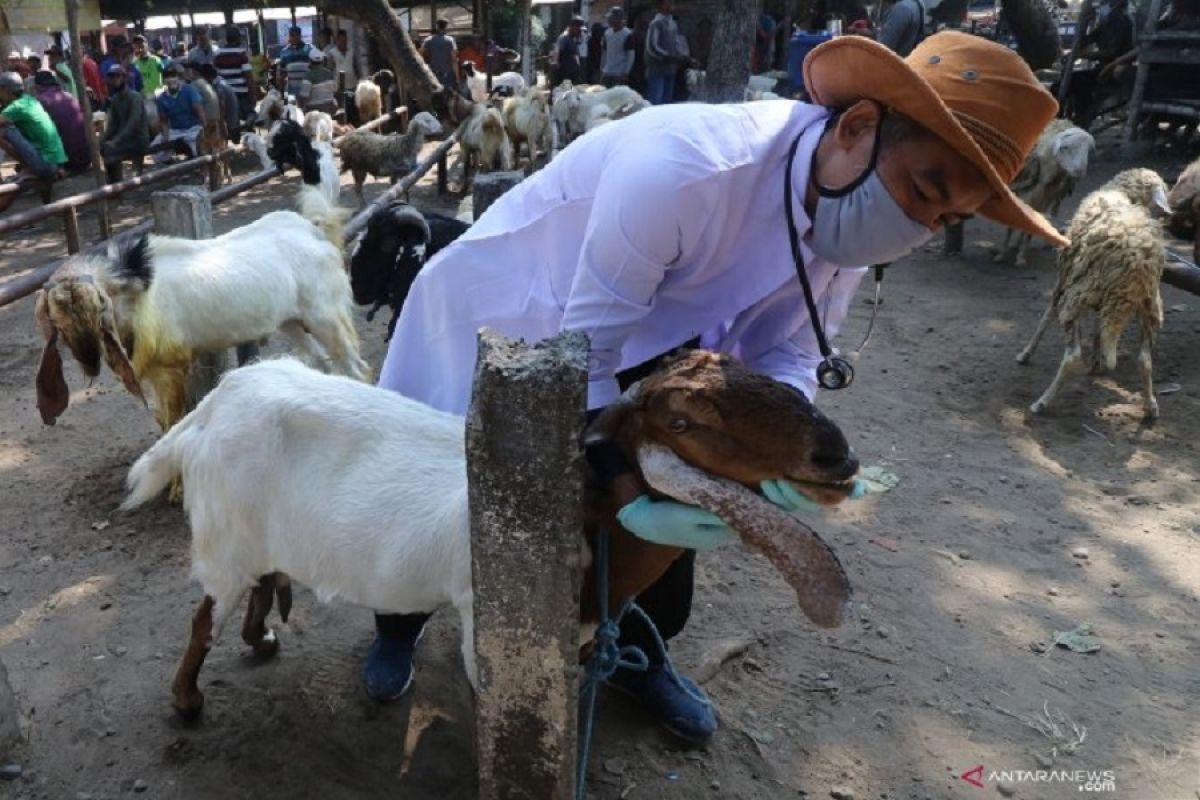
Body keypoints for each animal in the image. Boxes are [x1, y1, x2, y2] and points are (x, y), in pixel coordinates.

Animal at [117, 350, 859, 719]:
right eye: (683, 422)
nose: (837, 456)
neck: (583, 523)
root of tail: (212, 405)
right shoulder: (490, 620)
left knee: (259, 583)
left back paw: (260, 636)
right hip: (222, 539)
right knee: (204, 616)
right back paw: (187, 700)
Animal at [1012, 167, 1171, 419]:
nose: (1166, 215)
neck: (1123, 193)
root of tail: (1134, 264)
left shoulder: (1064, 278)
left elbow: (1046, 316)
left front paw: (1026, 353)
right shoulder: (1099, 300)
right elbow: (1098, 329)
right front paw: (1097, 362)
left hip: (1077, 296)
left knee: (1072, 356)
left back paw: (1042, 402)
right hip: (1149, 305)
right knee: (1145, 360)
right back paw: (1151, 406)